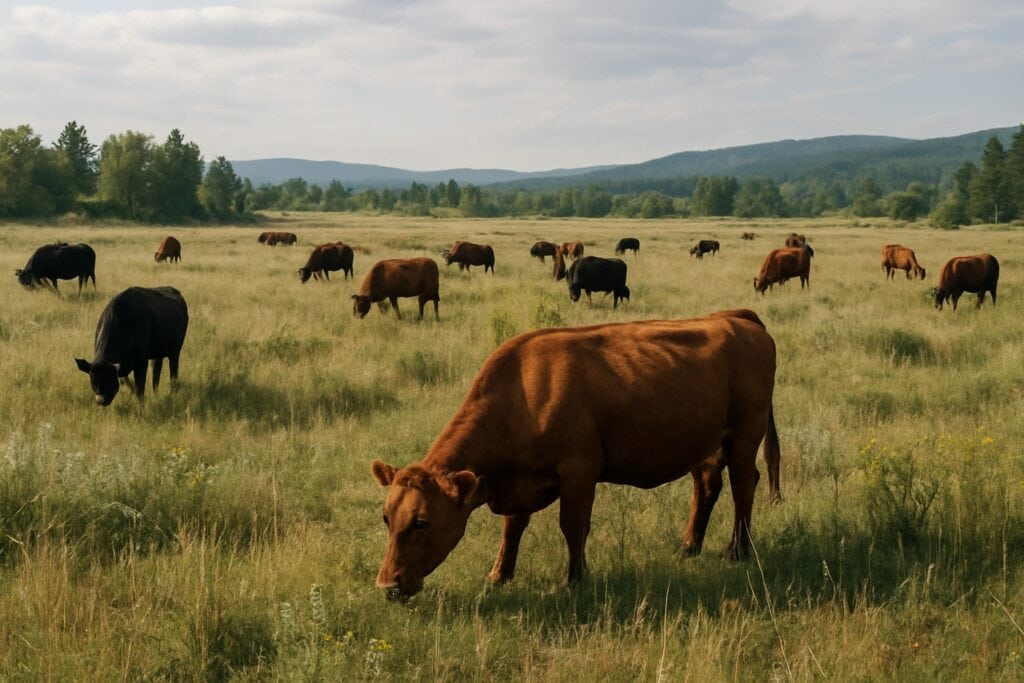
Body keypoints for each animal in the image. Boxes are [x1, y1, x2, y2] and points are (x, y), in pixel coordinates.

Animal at [370, 309, 781, 601]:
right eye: (386, 518)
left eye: (420, 522)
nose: (388, 586)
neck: (522, 396)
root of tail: (738, 319)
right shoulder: (521, 481)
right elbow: (513, 527)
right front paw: (499, 575)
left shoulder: (579, 474)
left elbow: (573, 526)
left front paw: (573, 579)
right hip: (707, 445)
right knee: (708, 485)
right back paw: (689, 547)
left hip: (745, 437)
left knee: (744, 486)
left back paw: (737, 550)